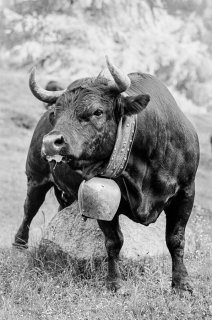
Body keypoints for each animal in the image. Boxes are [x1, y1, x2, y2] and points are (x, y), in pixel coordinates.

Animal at [14, 57, 200, 292]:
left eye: (97, 112)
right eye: (55, 114)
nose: (50, 142)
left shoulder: (186, 192)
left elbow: (176, 240)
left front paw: (182, 284)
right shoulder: (103, 199)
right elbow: (114, 242)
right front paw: (114, 282)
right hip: (36, 178)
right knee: (29, 210)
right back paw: (19, 244)